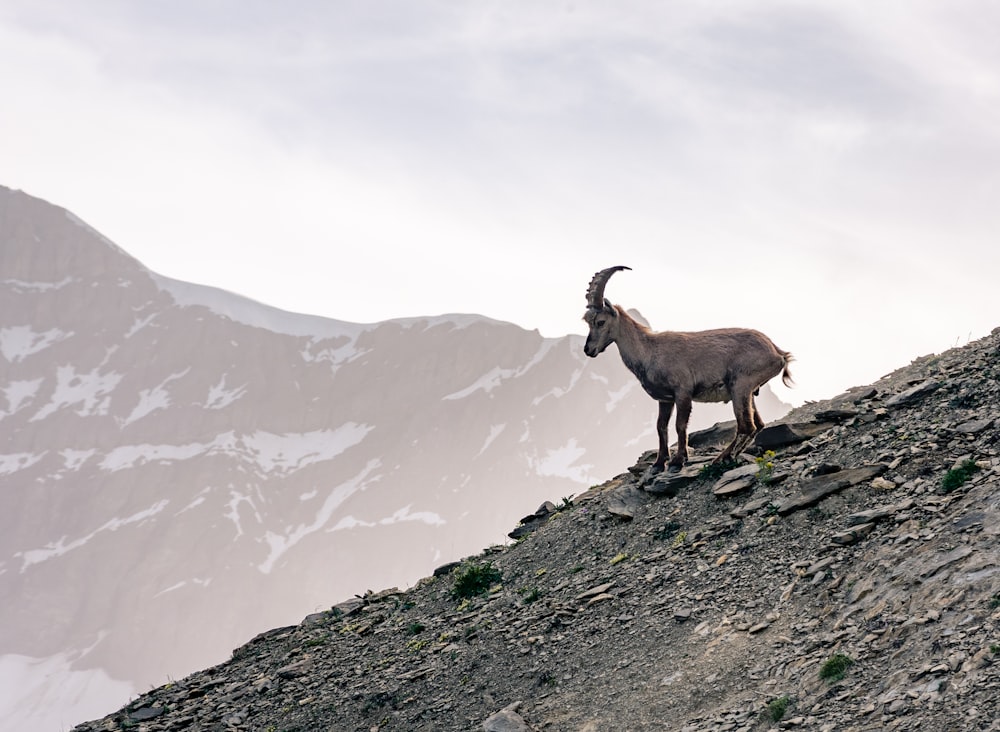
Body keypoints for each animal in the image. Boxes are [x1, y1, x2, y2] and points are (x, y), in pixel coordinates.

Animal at [584, 266, 792, 478]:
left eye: (600, 321)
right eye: (587, 321)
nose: (588, 350)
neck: (650, 350)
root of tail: (778, 353)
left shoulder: (683, 392)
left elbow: (680, 425)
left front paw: (678, 461)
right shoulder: (665, 399)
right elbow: (661, 427)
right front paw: (659, 463)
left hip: (740, 385)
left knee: (746, 426)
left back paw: (721, 459)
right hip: (748, 392)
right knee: (757, 425)